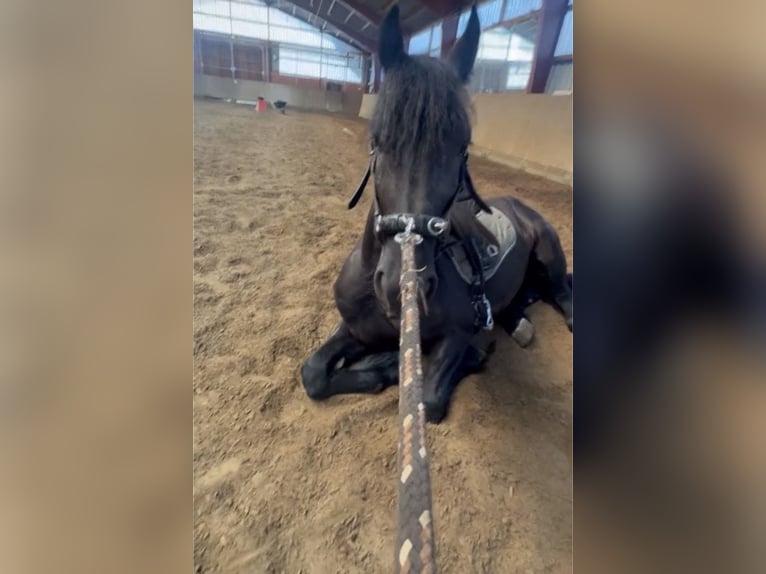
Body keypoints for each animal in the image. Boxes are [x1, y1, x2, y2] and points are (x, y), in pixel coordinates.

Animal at [300, 5, 573, 423]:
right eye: (377, 140)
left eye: (463, 147)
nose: (402, 286)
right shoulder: (354, 328)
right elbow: (312, 373)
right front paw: (378, 366)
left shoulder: (456, 336)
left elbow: (426, 401)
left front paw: (395, 364)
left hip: (550, 252)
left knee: (563, 294)